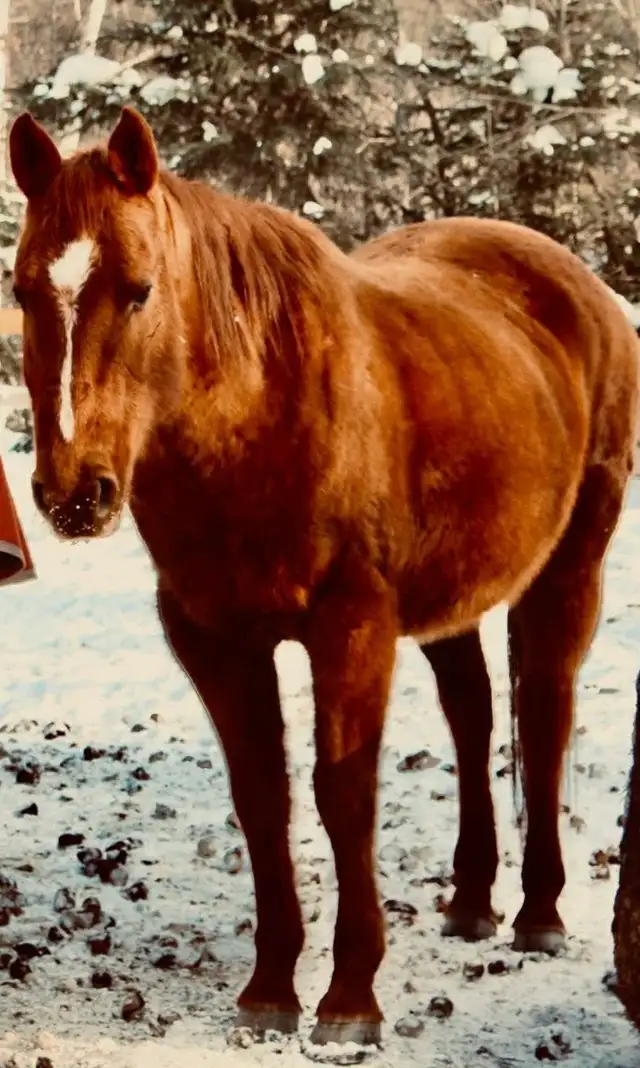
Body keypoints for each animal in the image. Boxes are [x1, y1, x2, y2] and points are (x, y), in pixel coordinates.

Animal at [8, 105, 638, 1052]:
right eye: (21, 292)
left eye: (140, 289)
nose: (74, 494)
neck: (261, 415)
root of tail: (580, 286)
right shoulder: (215, 639)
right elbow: (262, 797)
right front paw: (271, 988)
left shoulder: (351, 629)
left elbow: (344, 795)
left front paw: (349, 998)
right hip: (449, 600)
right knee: (473, 713)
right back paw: (472, 901)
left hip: (569, 569)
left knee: (544, 714)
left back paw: (538, 913)